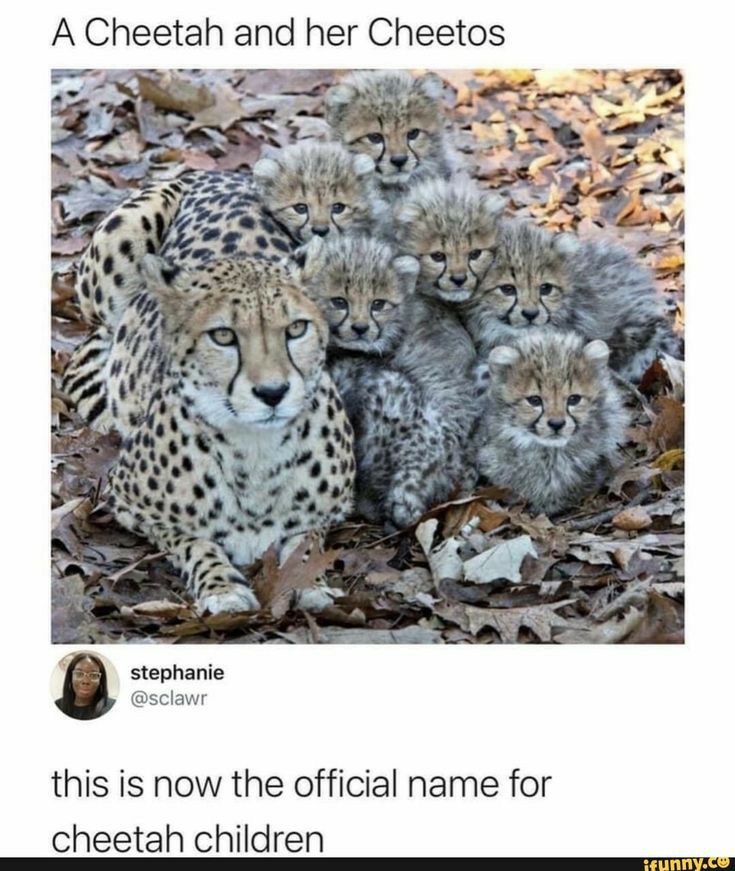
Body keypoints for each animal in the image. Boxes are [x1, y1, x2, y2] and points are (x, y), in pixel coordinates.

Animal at [103, 254, 355, 614]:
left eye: (296, 329)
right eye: (223, 336)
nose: (272, 392)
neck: (257, 449)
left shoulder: (329, 511)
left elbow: (305, 544)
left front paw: (308, 582)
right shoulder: (127, 502)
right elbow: (194, 541)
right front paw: (222, 587)